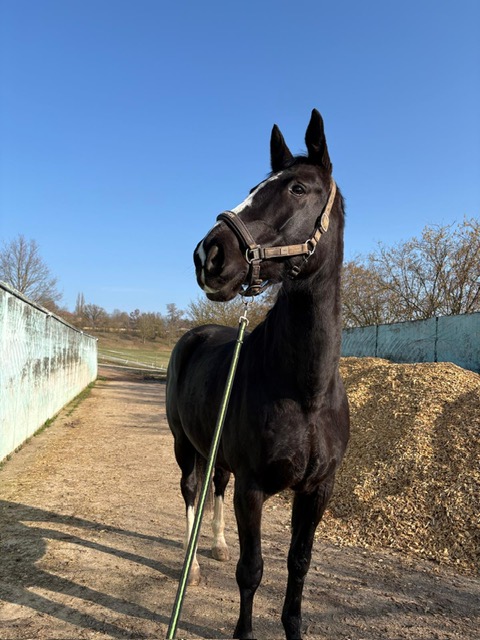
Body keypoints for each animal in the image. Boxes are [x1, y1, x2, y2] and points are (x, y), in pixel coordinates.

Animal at [166, 109, 350, 640]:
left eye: (297, 188)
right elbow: (252, 571)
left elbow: (298, 565)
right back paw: (194, 565)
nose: (209, 255)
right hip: (183, 443)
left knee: (215, 487)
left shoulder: (317, 491)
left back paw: (216, 544)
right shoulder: (254, 489)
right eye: (254, 186)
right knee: (191, 490)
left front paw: (294, 628)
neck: (306, 391)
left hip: (217, 452)